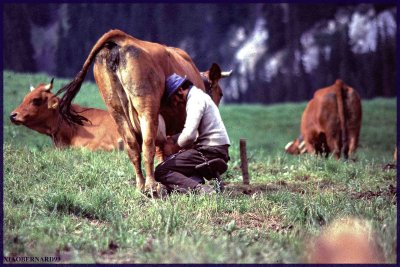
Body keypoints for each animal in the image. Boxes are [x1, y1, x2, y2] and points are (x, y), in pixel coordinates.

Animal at [55, 29, 228, 196]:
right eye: (220, 93)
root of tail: (125, 39)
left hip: (116, 110)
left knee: (132, 146)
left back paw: (140, 186)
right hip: (147, 108)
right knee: (147, 145)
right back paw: (152, 186)